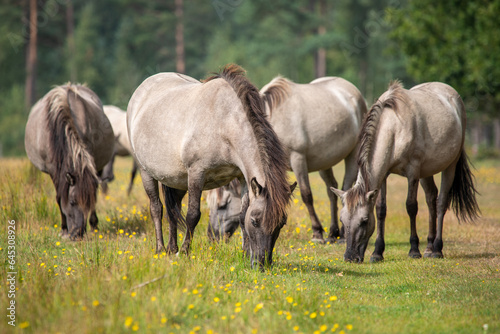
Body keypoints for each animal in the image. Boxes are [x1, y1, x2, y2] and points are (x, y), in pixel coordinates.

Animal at [24, 85, 114, 239]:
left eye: (87, 203)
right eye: (72, 202)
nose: (77, 233)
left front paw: (93, 225)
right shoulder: (54, 170)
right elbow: (59, 197)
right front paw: (63, 228)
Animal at [127, 64, 294, 268]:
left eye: (281, 224)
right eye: (255, 221)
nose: (262, 264)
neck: (224, 123)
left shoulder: (242, 177)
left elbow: (241, 215)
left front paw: (245, 254)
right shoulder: (196, 173)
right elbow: (193, 215)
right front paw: (184, 252)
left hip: (176, 180)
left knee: (172, 210)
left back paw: (171, 248)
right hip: (146, 172)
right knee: (156, 208)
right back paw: (161, 249)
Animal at [260, 75, 366, 243]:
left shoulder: (298, 158)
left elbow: (306, 195)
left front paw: (317, 232)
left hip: (353, 154)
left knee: (345, 188)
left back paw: (342, 234)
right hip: (325, 162)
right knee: (332, 190)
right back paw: (333, 232)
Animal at [332, 81, 480, 264]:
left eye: (364, 221)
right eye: (342, 220)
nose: (350, 257)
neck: (395, 128)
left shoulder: (413, 172)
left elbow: (411, 206)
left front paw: (414, 250)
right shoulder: (384, 175)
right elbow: (381, 209)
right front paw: (377, 252)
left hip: (449, 165)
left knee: (441, 202)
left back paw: (437, 249)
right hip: (426, 172)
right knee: (431, 198)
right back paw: (429, 247)